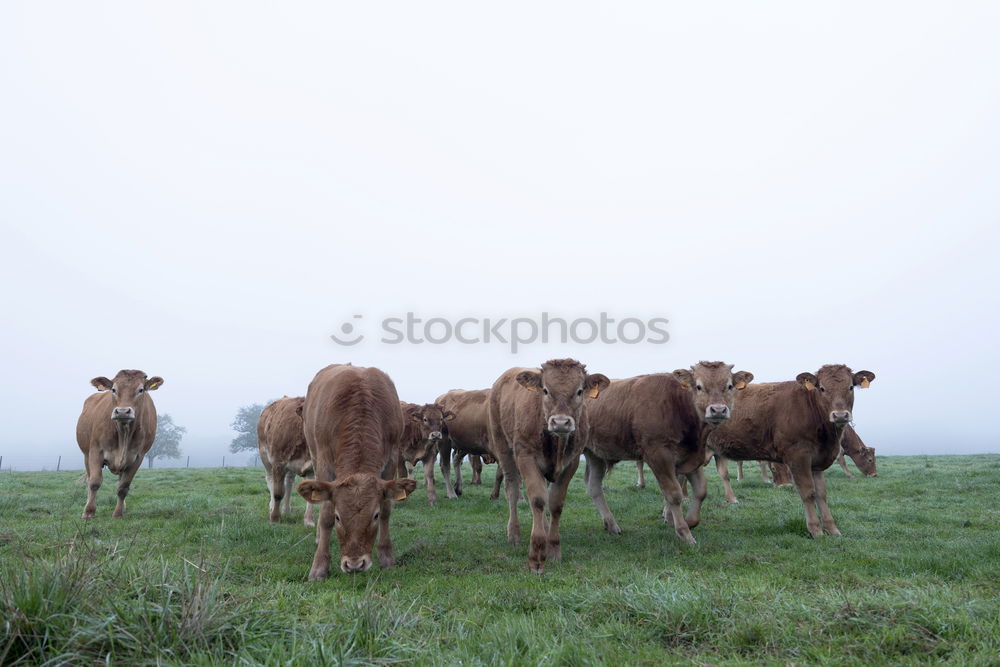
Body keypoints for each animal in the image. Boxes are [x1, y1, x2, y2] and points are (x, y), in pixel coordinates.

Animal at [75, 370, 163, 520]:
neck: (123, 433)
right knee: (89, 479)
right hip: (86, 455)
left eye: (141, 390)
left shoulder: (138, 457)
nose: (122, 411)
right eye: (114, 390)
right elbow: (94, 482)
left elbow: (123, 487)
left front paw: (118, 513)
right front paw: (89, 512)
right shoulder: (95, 451)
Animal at [294, 366, 416, 580]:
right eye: (338, 517)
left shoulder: (391, 460)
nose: (354, 564)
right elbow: (325, 514)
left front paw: (387, 558)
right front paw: (319, 566)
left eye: (374, 516)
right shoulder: (324, 463)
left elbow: (387, 509)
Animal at [486, 360, 608, 576]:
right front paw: (536, 557)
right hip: (504, 449)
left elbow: (555, 504)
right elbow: (537, 500)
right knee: (512, 489)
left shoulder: (571, 462)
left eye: (579, 391)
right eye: (545, 390)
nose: (560, 422)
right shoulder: (525, 456)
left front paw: (553, 550)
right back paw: (514, 534)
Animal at [584, 360, 752, 544]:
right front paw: (684, 533)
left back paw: (611, 524)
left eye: (729, 386)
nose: (718, 410)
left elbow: (701, 490)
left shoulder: (690, 457)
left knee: (594, 486)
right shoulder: (659, 455)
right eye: (698, 386)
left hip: (595, 454)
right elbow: (674, 493)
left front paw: (690, 521)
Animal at [704, 366, 876, 536]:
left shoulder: (817, 460)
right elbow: (808, 492)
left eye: (850, 387)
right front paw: (815, 529)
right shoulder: (798, 456)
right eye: (822, 388)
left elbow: (821, 494)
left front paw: (832, 529)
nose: (840, 415)